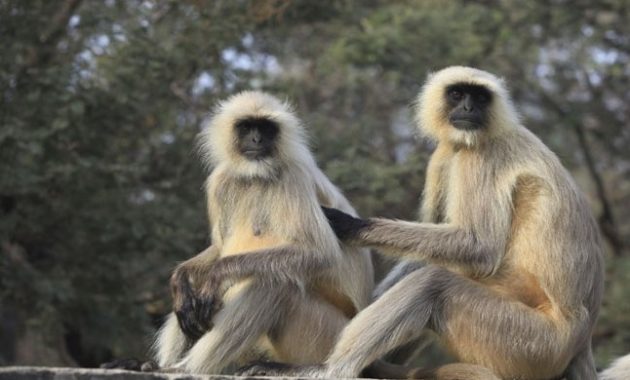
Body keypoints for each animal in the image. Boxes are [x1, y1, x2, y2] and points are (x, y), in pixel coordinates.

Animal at [151, 91, 376, 374]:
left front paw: (215, 274)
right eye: (247, 127)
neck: (256, 176)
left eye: (266, 129)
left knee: (275, 282)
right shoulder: (220, 180)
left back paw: (184, 368)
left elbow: (320, 252)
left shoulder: (292, 176)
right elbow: (218, 248)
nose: (257, 140)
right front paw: (181, 278)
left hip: (328, 336)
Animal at [238, 66, 608, 380]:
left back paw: (329, 370)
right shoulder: (447, 151)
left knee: (433, 284)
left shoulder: (479, 155)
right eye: (458, 94)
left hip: (530, 344)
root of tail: (581, 337)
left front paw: (351, 226)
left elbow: (480, 247)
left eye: (480, 98)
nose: (469, 108)